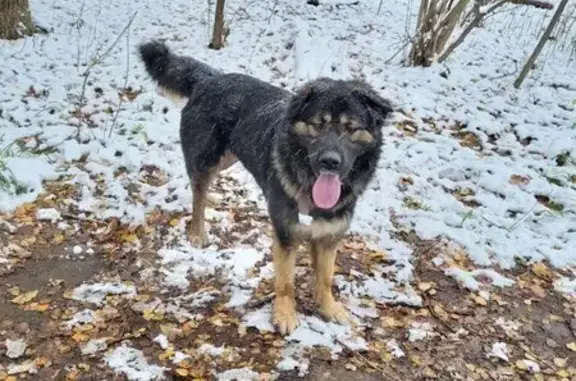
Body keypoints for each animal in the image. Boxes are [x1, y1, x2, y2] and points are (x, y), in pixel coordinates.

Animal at [137, 40, 394, 334]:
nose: (330, 162)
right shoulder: (285, 232)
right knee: (198, 194)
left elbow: (325, 278)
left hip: (228, 157)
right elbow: (286, 282)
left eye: (351, 128)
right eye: (318, 125)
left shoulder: (329, 235)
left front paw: (329, 308)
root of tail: (210, 78)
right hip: (207, 160)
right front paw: (284, 315)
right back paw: (197, 232)